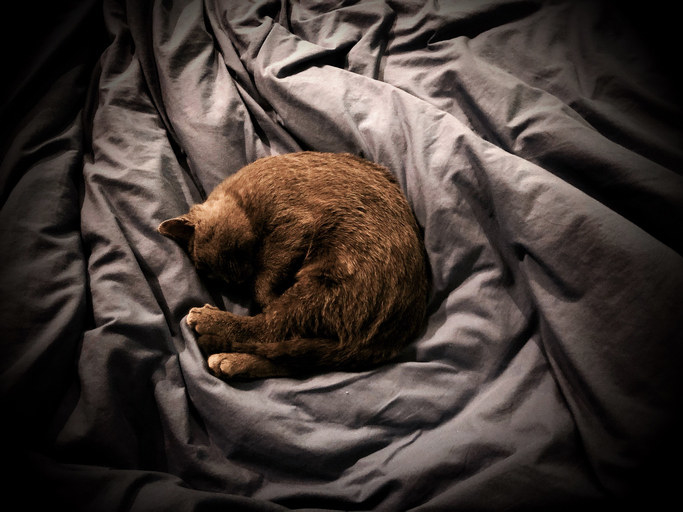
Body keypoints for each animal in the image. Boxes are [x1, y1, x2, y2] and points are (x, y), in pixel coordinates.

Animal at [158, 150, 430, 378]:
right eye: (215, 278)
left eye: (225, 259)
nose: (236, 281)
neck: (244, 201)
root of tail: (391, 339)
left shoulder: (293, 226)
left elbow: (265, 281)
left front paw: (262, 296)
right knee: (293, 359)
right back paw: (229, 361)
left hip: (322, 286)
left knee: (270, 328)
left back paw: (209, 324)